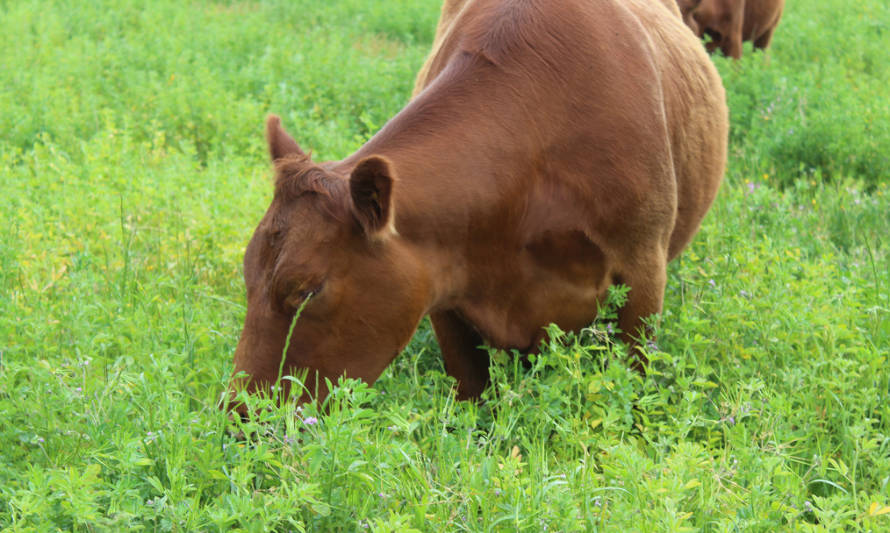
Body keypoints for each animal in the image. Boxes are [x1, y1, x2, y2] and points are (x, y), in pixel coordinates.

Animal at [225, 0, 724, 406]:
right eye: (248, 275)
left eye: (307, 290)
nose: (241, 415)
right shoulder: (442, 287)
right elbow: (471, 395)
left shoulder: (643, 269)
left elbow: (634, 386)